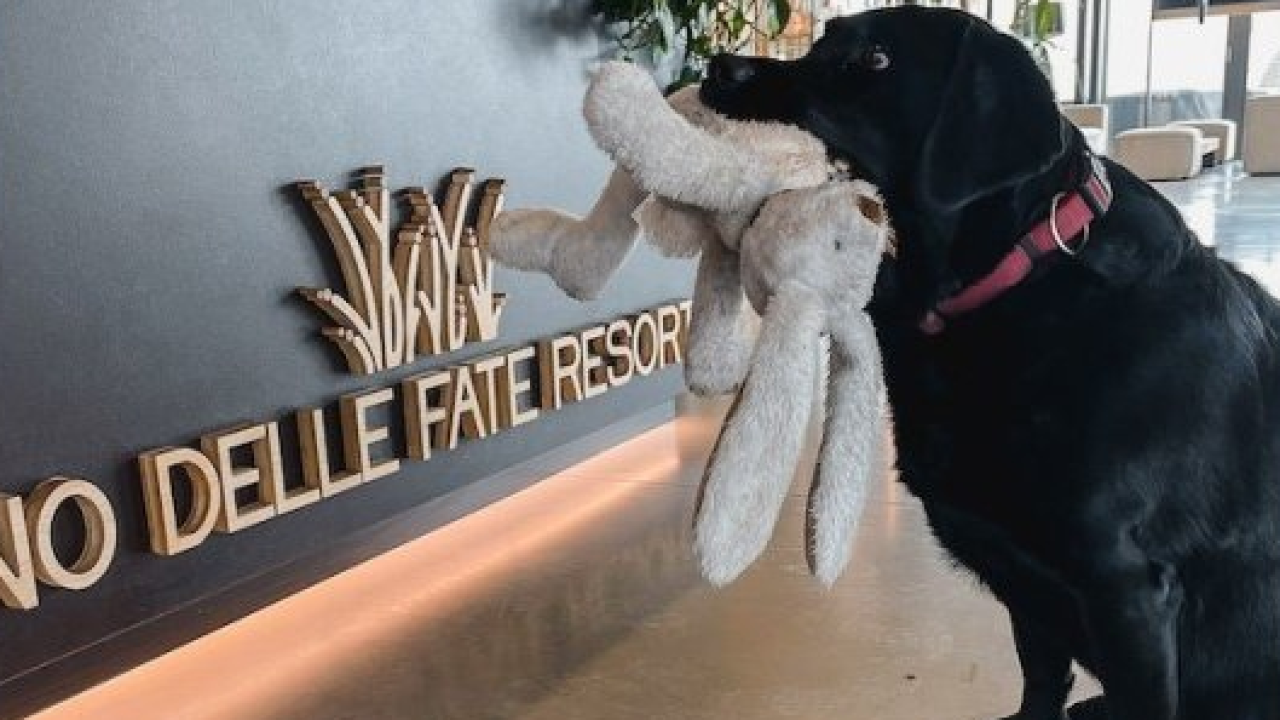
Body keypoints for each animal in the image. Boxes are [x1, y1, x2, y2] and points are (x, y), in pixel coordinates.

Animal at [700, 7, 1280, 720]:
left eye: (876, 59)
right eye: (820, 42)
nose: (717, 67)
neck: (1023, 278)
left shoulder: (1127, 590)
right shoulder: (1031, 588)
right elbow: (1040, 680)